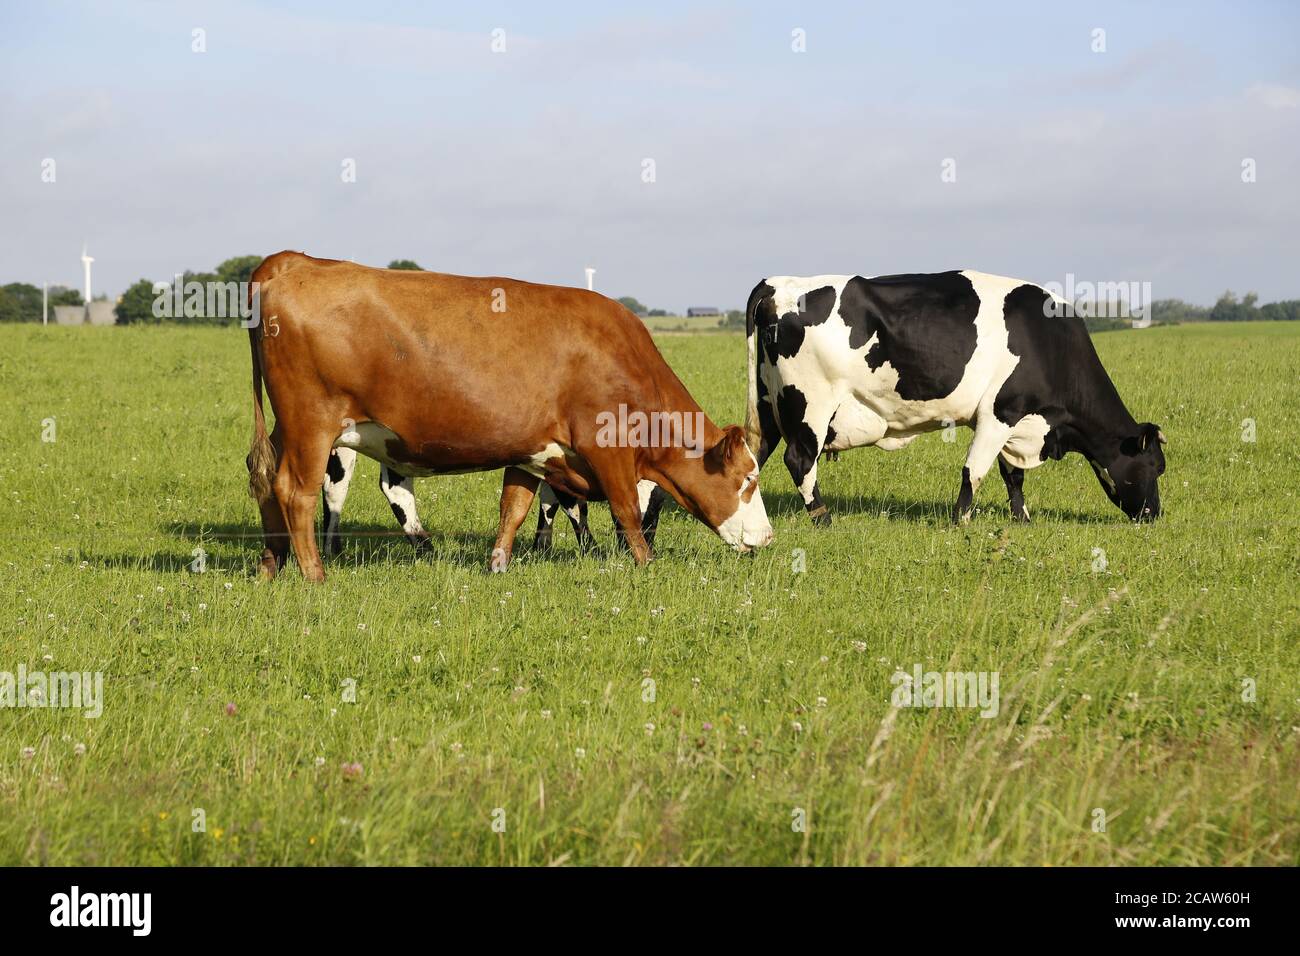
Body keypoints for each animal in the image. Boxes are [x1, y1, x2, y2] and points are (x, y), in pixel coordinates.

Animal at [319, 446, 663, 555]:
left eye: (657, 513)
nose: (646, 545)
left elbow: (548, 500)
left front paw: (542, 545)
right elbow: (571, 504)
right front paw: (591, 549)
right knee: (339, 484)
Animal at [743, 271, 1167, 525]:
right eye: (1155, 467)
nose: (1155, 515)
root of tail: (778, 283)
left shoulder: (1016, 421)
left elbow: (1012, 476)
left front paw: (1022, 519)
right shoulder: (1000, 412)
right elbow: (974, 471)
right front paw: (960, 522)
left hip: (769, 403)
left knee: (754, 453)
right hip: (811, 405)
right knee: (800, 461)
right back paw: (823, 519)